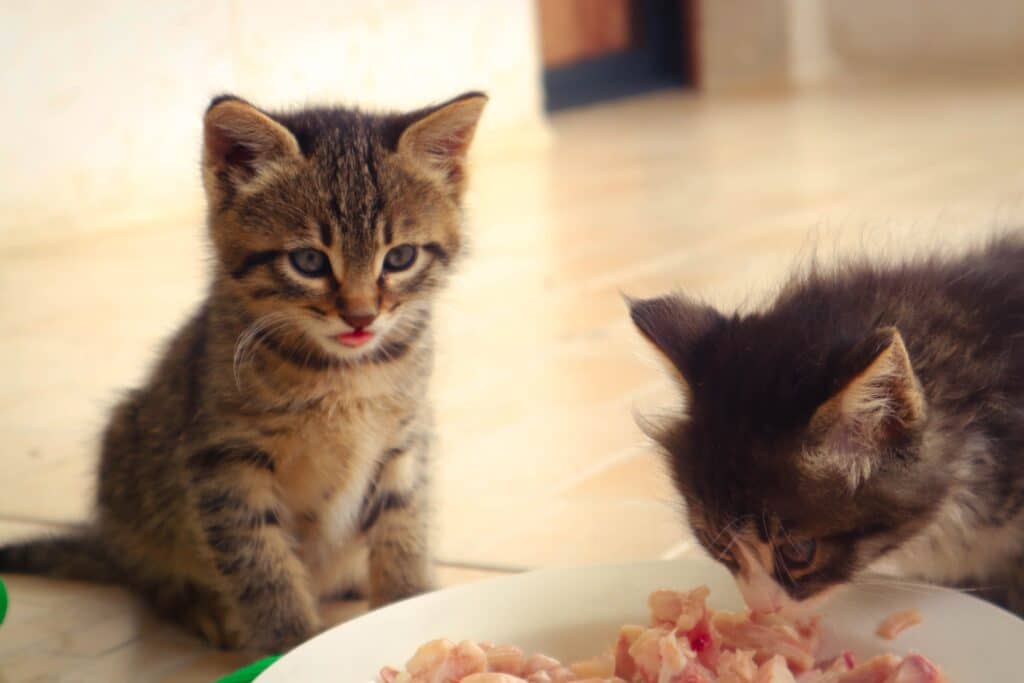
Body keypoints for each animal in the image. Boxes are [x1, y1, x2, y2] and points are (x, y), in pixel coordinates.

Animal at [0, 90, 487, 651]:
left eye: (401, 257)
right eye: (309, 262)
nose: (361, 316)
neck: (345, 373)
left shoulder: (403, 440)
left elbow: (403, 526)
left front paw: (408, 601)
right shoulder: (223, 460)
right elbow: (260, 559)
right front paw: (290, 643)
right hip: (126, 449)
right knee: (148, 577)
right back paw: (201, 605)